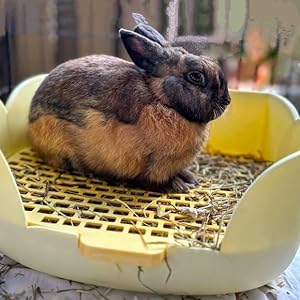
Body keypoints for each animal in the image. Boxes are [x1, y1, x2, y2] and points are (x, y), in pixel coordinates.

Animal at [27, 12, 230, 192]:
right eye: (195, 76)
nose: (227, 101)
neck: (160, 99)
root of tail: (30, 122)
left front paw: (189, 178)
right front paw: (178, 186)